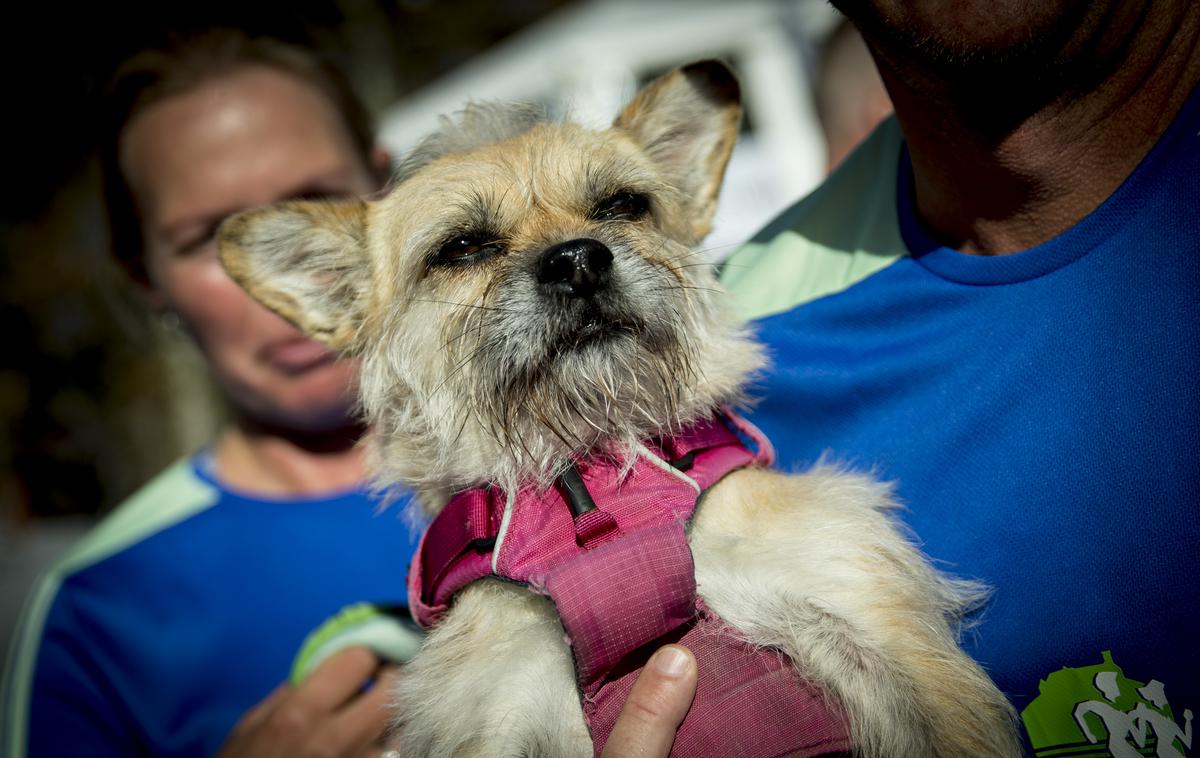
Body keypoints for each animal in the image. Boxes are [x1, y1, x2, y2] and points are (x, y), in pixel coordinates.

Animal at [220, 62, 1017, 753]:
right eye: (462, 247)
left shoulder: (878, 630)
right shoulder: (505, 712)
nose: (578, 261)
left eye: (622, 205)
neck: (594, 484)